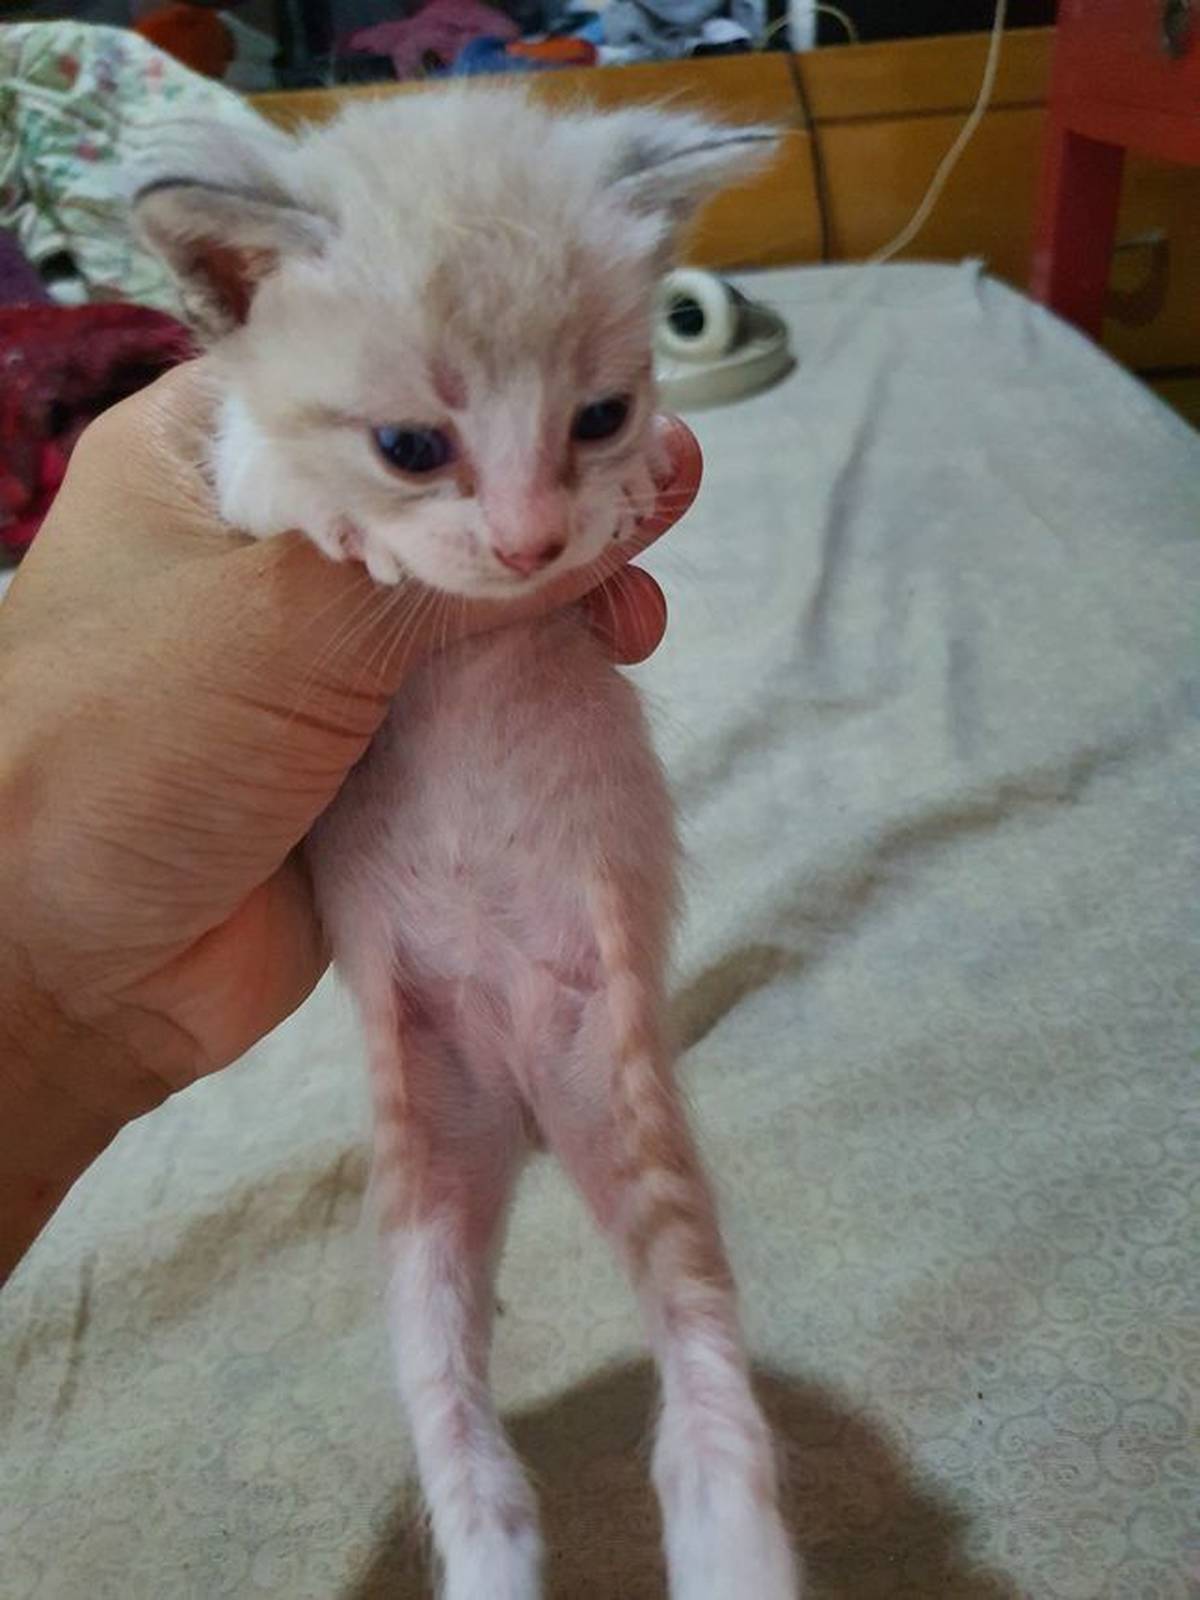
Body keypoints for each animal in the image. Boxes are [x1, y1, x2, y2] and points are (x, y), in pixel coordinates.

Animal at [135, 88, 799, 1600]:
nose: (529, 539)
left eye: (599, 416)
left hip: (624, 1109)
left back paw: (735, 1545)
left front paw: (622, 504)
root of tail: (523, 1097)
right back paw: (497, 1550)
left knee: (699, 1374)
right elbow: (262, 480)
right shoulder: (225, 496)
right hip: (427, 1176)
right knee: (462, 1435)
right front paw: (332, 514)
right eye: (410, 448)